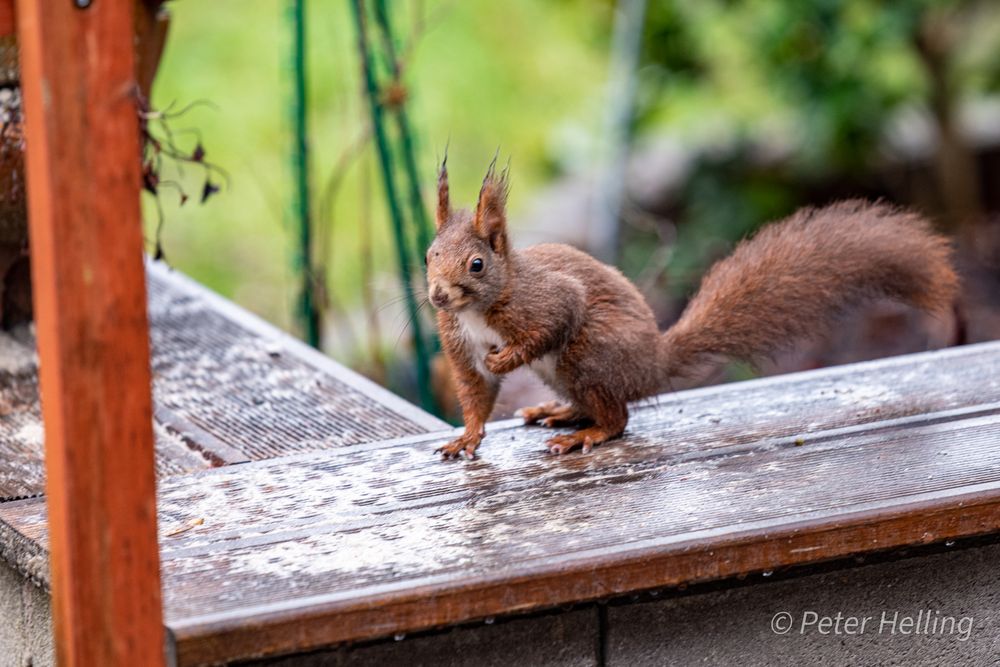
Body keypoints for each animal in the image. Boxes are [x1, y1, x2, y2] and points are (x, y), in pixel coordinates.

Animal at [426, 158, 956, 460]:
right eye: (429, 254)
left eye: (476, 264)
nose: (436, 297)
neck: (480, 307)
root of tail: (653, 364)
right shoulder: (458, 340)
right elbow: (475, 392)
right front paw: (467, 438)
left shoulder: (546, 299)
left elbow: (554, 320)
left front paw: (506, 358)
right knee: (599, 405)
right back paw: (559, 412)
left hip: (590, 355)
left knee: (618, 418)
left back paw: (585, 433)